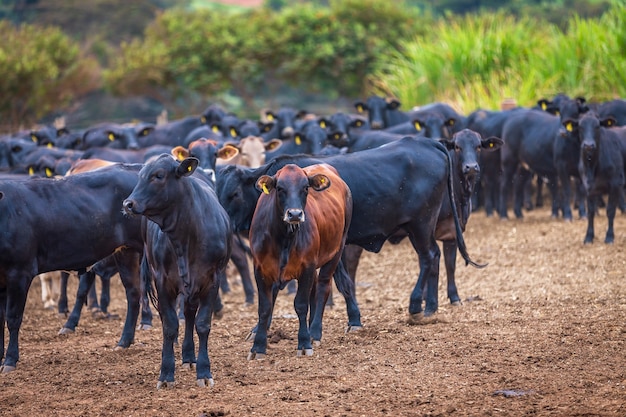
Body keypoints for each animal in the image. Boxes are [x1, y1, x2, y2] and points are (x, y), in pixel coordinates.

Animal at [0, 163, 143, 374]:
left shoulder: (20, 273)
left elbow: (13, 318)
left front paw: (10, 359)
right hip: (126, 251)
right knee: (133, 293)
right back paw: (124, 341)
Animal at [120, 155, 230, 386]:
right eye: (140, 175)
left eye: (159, 175)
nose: (128, 204)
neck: (186, 235)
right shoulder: (162, 281)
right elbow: (170, 326)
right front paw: (166, 373)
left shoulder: (212, 279)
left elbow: (202, 324)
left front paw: (204, 371)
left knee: (189, 313)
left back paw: (189, 357)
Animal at [246, 162, 352, 358]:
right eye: (280, 188)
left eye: (305, 188)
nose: (295, 214)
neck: (283, 238)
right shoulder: (260, 269)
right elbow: (264, 307)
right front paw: (258, 346)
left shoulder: (307, 267)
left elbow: (301, 305)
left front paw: (303, 343)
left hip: (337, 249)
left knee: (323, 287)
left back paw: (315, 332)